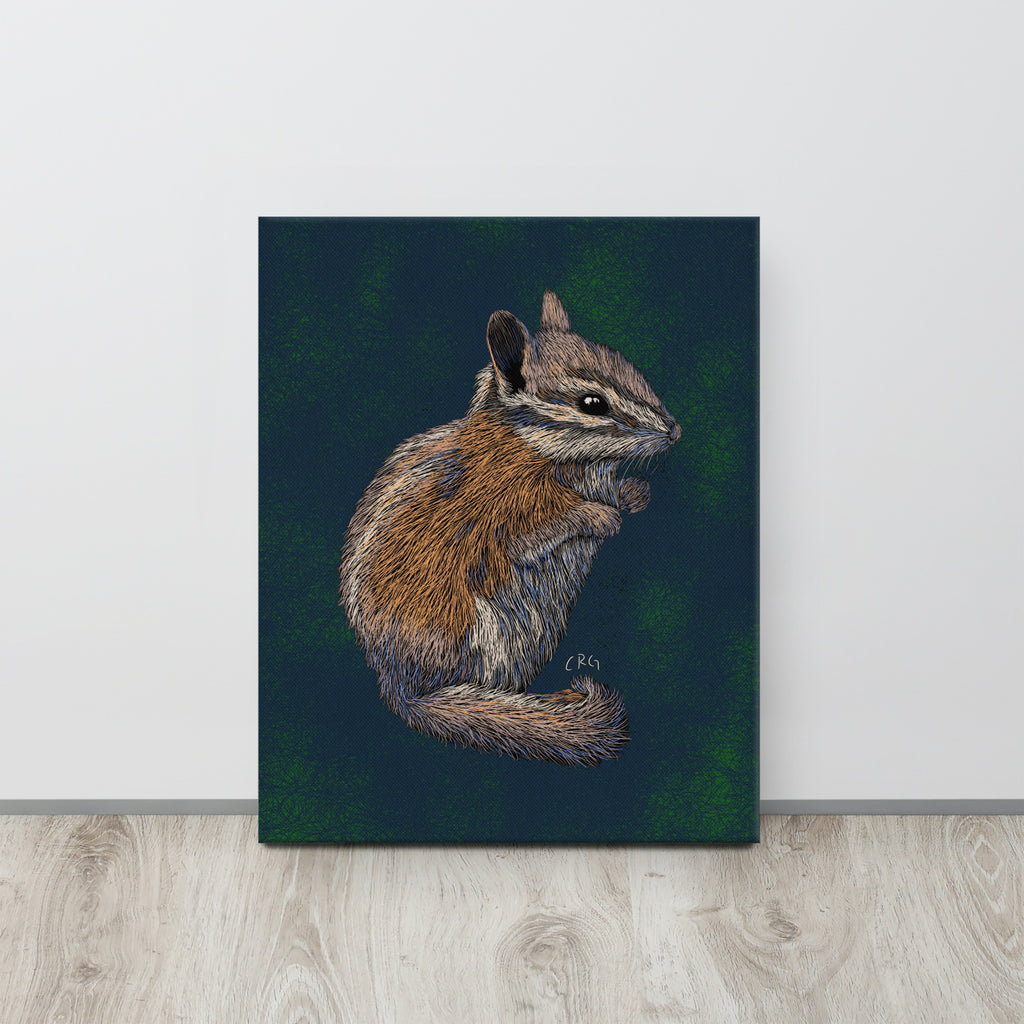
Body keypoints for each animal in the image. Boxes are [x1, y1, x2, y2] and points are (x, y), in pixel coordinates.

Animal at [338, 290, 681, 766]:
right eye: (592, 403)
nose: (675, 431)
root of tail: (402, 687)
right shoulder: (504, 516)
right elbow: (536, 533)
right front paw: (599, 516)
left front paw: (634, 494)